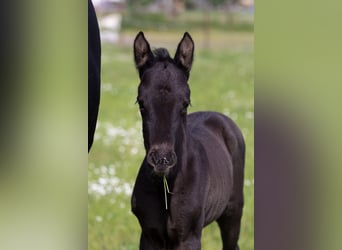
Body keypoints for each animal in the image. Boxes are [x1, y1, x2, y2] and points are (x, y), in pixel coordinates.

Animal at [132, 32, 246, 249]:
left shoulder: (188, 237)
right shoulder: (149, 235)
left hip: (233, 212)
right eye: (141, 103)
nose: (162, 160)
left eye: (185, 104)